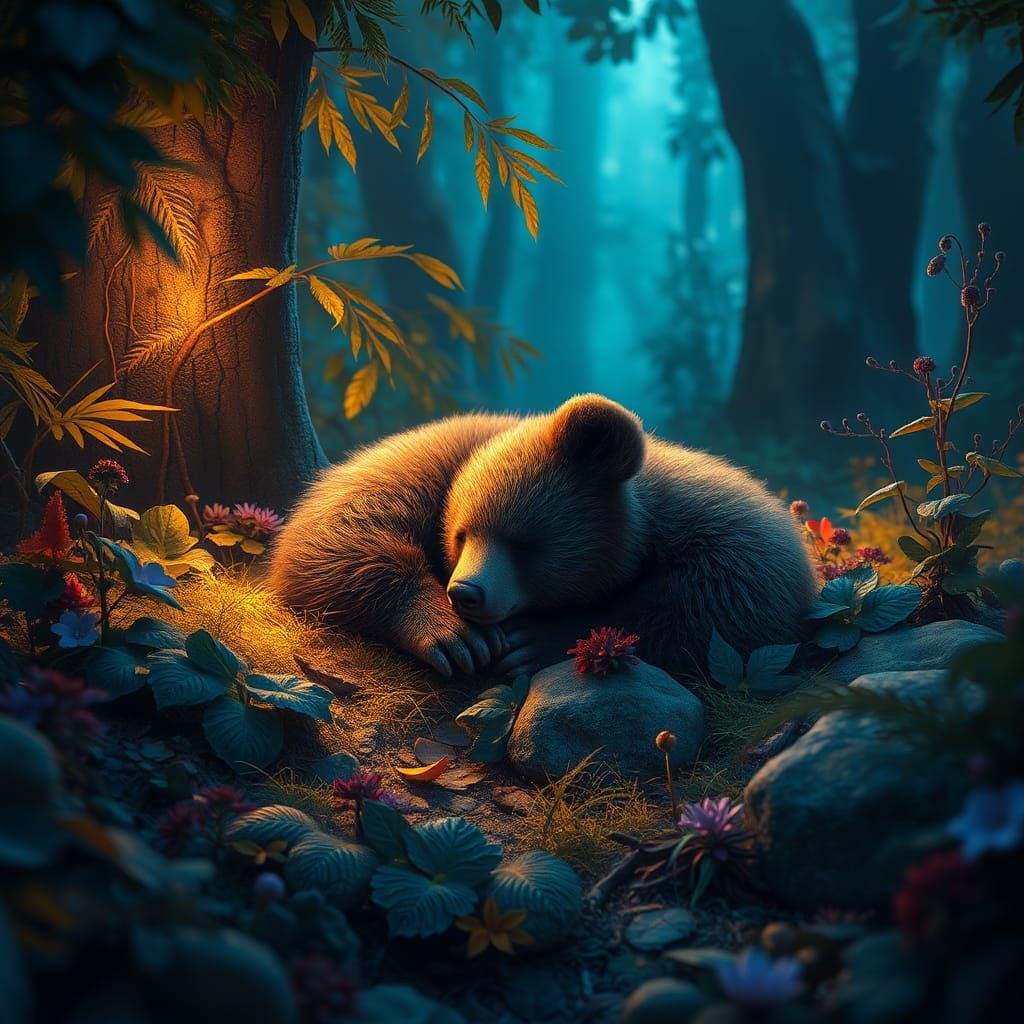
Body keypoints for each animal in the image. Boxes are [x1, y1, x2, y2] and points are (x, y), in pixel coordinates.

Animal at [269, 394, 817, 679]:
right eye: (462, 535)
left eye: (527, 544)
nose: (465, 594)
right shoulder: (438, 460)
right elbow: (334, 531)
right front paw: (454, 636)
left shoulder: (716, 523)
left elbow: (732, 603)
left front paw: (537, 642)